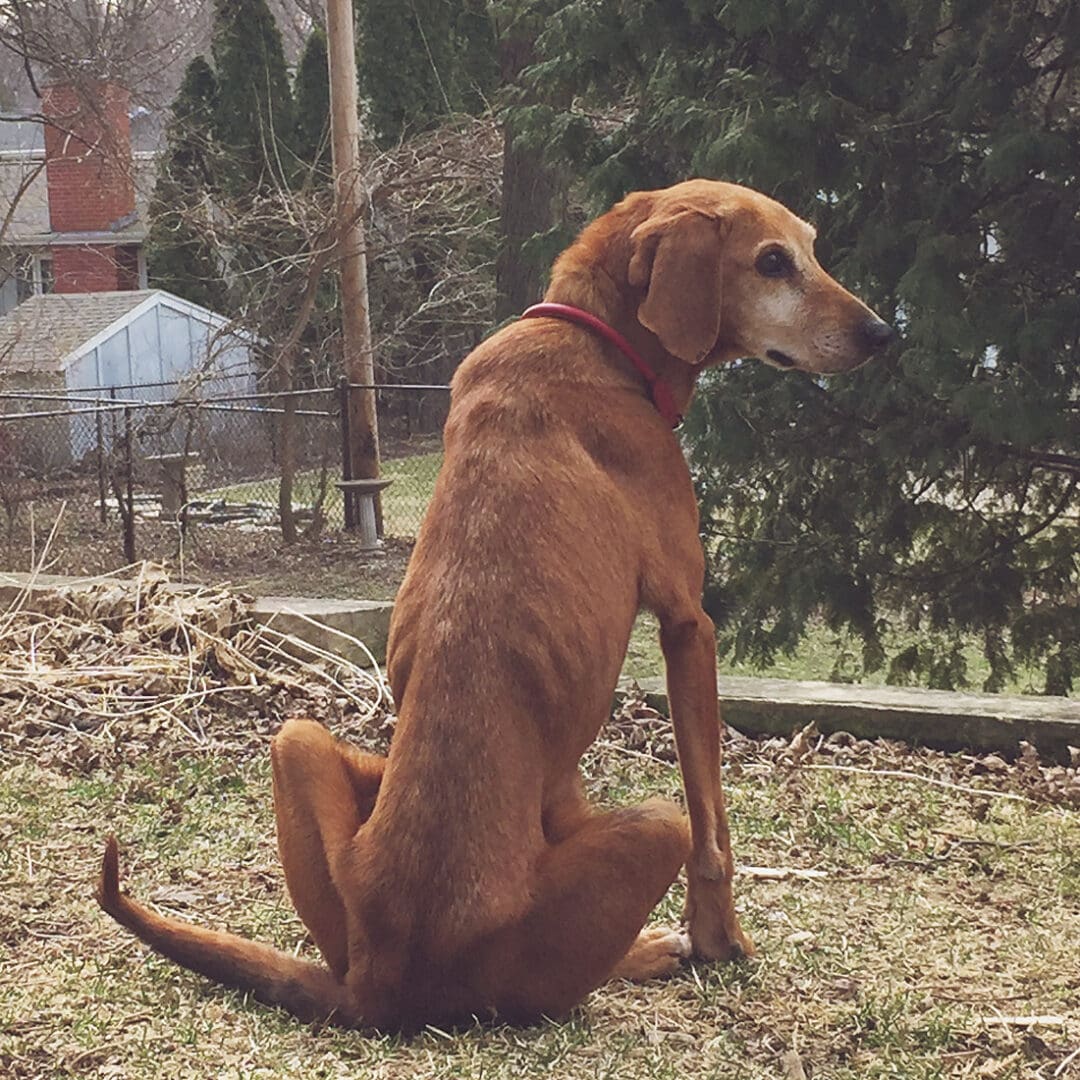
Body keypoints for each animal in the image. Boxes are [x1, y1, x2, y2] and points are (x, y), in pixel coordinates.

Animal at [97, 177, 889, 1028]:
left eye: (810, 246)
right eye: (773, 262)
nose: (881, 334)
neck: (594, 337)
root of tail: (382, 975)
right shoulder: (689, 623)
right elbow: (713, 820)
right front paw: (721, 939)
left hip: (298, 745)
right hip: (650, 830)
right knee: (572, 971)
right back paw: (643, 954)